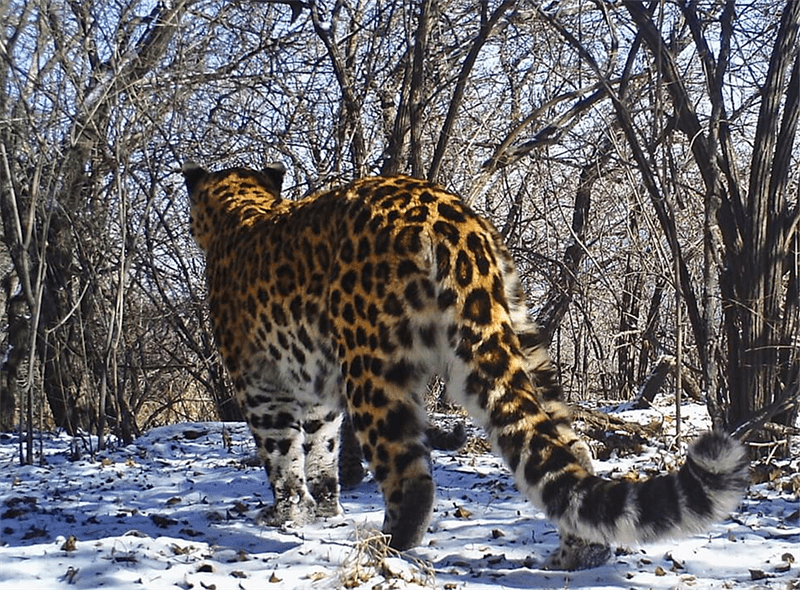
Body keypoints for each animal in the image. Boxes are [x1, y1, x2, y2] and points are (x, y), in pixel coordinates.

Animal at [181, 162, 752, 568]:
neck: (242, 212)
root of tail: (455, 220)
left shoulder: (261, 387)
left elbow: (281, 454)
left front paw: (287, 513)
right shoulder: (316, 395)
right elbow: (320, 450)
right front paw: (323, 510)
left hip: (373, 367)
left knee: (411, 476)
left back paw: (385, 547)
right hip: (518, 341)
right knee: (569, 451)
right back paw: (579, 555)